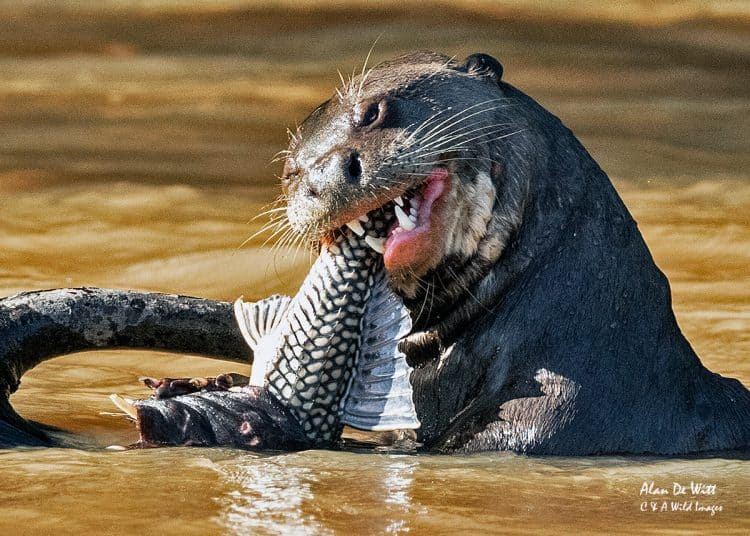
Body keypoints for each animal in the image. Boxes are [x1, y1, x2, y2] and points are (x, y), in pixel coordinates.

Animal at [0, 50, 748, 454]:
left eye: (375, 111)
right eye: (291, 175)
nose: (330, 172)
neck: (592, 350)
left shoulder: (544, 429)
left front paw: (223, 418)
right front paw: (195, 387)